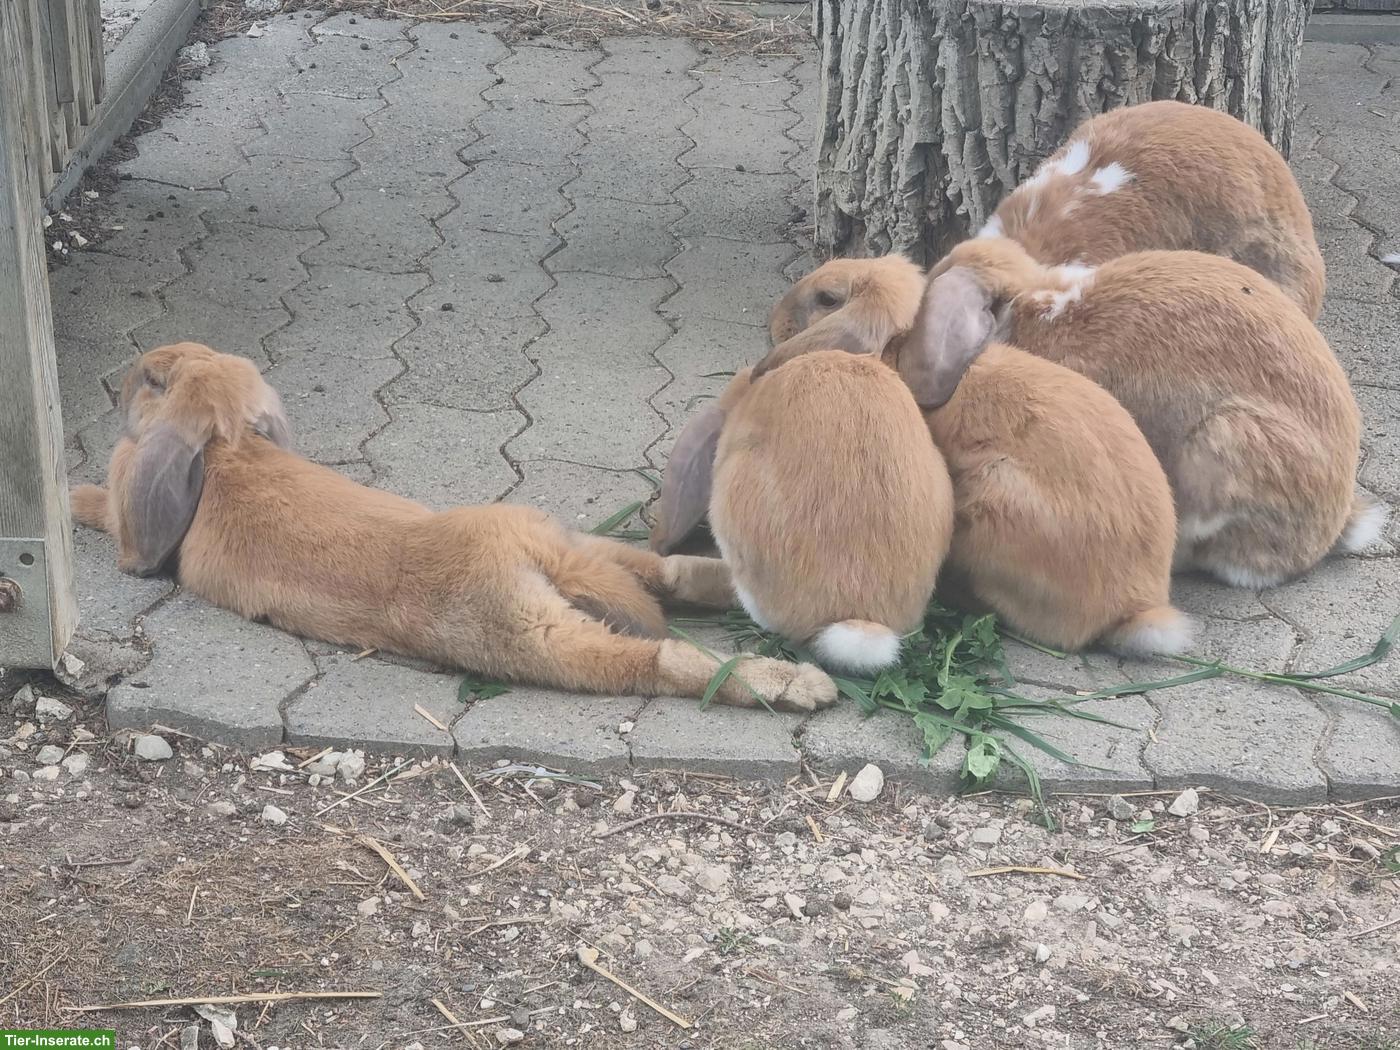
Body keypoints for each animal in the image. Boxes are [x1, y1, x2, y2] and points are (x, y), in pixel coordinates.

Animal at [69, 343, 836, 713]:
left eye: (151, 379)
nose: (119, 386)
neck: (230, 452)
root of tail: (519, 555)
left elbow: (104, 509)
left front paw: (74, 496)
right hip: (569, 556)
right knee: (671, 582)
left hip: (538, 635)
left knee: (666, 659)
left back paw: (796, 684)